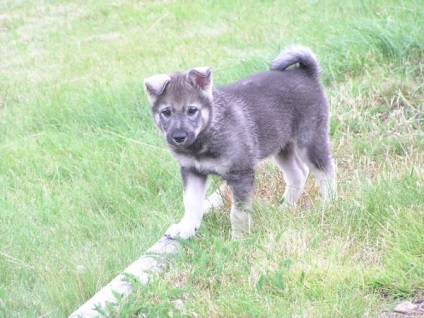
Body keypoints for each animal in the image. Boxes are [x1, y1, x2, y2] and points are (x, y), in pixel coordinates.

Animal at [144, 46, 336, 240]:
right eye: (166, 112)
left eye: (192, 110)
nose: (179, 137)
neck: (206, 134)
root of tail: (306, 72)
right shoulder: (191, 171)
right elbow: (191, 202)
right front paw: (186, 228)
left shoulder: (240, 174)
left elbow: (238, 212)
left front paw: (239, 238)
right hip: (282, 145)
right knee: (298, 172)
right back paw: (286, 206)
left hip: (309, 140)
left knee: (325, 171)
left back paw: (328, 203)